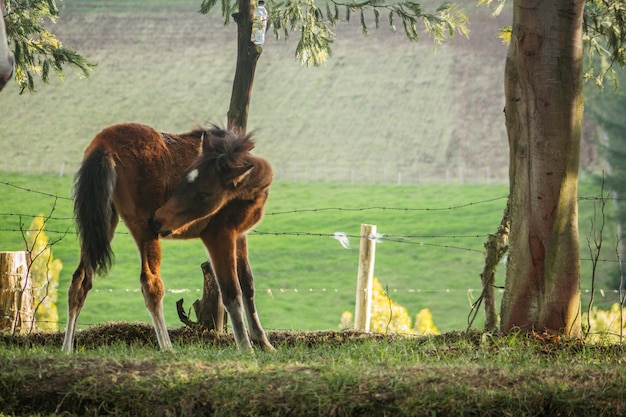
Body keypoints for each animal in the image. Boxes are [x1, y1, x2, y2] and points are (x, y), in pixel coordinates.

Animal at [62, 122, 272, 352]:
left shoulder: (239, 235)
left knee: (80, 281)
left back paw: (67, 349)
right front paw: (246, 348)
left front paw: (263, 342)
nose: (158, 219)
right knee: (150, 283)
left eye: (202, 193)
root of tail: (103, 143)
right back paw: (167, 347)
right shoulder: (218, 235)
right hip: (143, 229)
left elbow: (247, 284)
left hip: (101, 223)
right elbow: (231, 292)